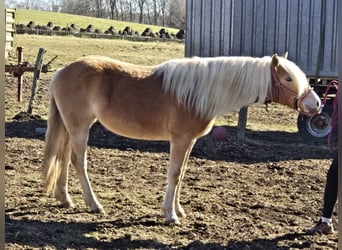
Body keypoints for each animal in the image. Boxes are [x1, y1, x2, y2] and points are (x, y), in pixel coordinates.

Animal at [41, 53, 322, 225]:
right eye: (288, 78)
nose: (316, 104)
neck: (199, 92)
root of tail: (61, 72)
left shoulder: (190, 142)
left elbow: (182, 173)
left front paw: (178, 210)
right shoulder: (180, 139)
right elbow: (175, 174)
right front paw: (170, 215)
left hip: (71, 127)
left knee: (64, 158)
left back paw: (65, 199)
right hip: (80, 127)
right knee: (78, 161)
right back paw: (94, 204)